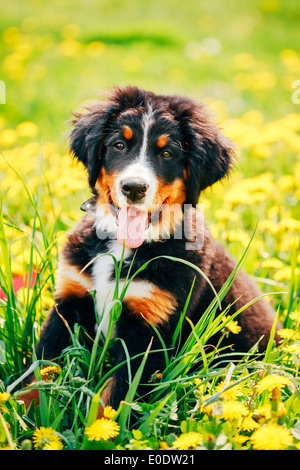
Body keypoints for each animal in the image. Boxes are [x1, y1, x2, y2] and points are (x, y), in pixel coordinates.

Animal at [34, 86, 280, 410]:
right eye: (119, 145)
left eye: (167, 153)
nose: (134, 188)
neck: (123, 248)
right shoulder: (69, 302)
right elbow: (33, 377)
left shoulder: (149, 331)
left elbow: (114, 400)